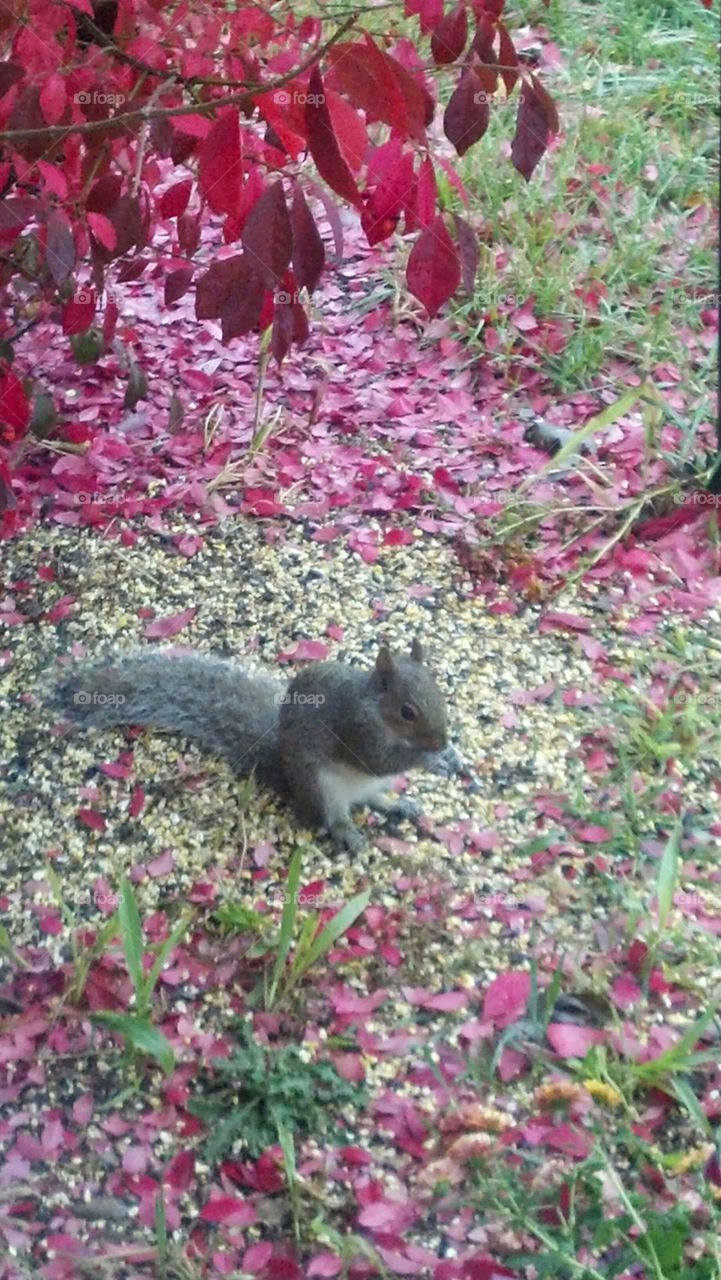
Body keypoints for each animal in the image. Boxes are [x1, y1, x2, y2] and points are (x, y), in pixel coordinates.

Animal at [58, 641, 457, 852]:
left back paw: (396, 804)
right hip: (322, 788)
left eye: (439, 692)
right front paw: (428, 758)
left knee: (372, 796)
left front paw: (450, 755)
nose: (441, 740)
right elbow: (378, 759)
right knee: (331, 817)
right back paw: (347, 832)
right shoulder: (355, 728)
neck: (374, 706)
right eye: (408, 712)